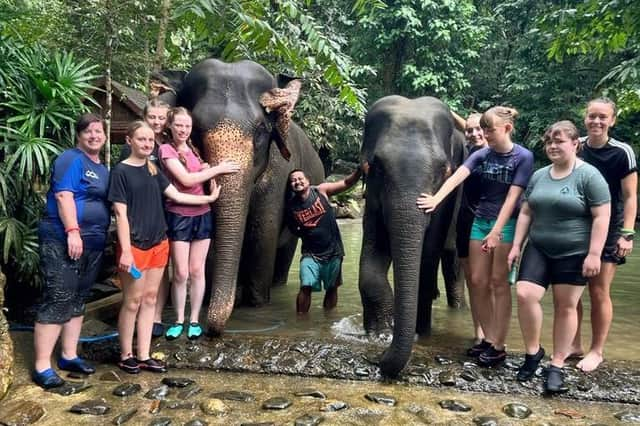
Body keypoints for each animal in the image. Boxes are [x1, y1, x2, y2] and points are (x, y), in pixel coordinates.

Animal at [156, 58, 324, 334]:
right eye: (195, 130)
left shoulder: (278, 173)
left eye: (261, 130)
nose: (212, 329)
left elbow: (262, 233)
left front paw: (256, 305)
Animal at [358, 95, 462, 376]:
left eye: (444, 171)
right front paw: (380, 333)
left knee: (451, 259)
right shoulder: (372, 198)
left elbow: (427, 257)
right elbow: (373, 256)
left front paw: (420, 333)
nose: (379, 358)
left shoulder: (444, 202)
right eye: (377, 167)